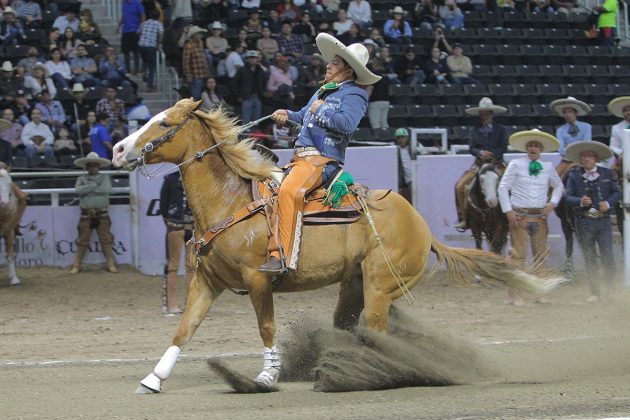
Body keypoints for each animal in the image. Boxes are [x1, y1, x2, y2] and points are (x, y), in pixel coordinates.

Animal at [112, 100, 568, 396]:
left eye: (163, 123)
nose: (118, 149)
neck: (232, 202)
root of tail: (421, 226)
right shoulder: (206, 283)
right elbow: (184, 329)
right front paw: (153, 380)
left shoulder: (258, 283)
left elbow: (266, 329)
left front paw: (264, 379)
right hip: (357, 286)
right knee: (361, 327)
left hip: (380, 287)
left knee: (377, 332)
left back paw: (371, 374)